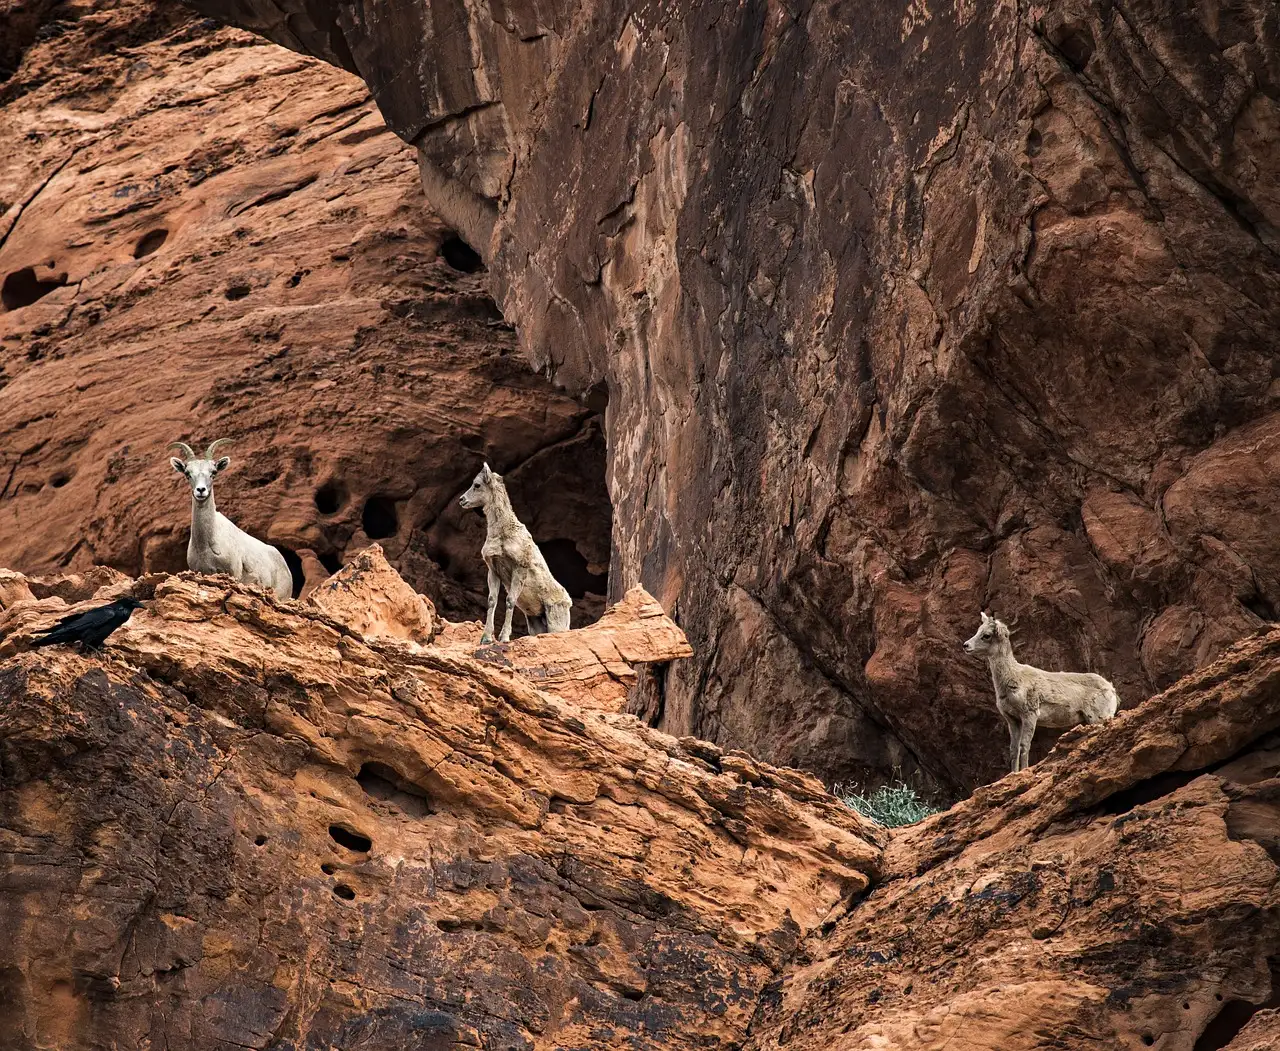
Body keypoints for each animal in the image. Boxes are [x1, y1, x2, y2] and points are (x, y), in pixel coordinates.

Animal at [458, 462, 572, 644]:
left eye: (477, 485)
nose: (462, 500)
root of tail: (568, 602)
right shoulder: (493, 571)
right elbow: (492, 601)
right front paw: (486, 639)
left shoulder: (519, 569)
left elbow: (510, 601)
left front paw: (504, 638)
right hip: (535, 624)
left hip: (556, 621)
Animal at [963, 610, 1119, 774]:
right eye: (978, 630)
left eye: (986, 635)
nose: (965, 645)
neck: (1013, 679)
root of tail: (1112, 690)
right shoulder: (1013, 719)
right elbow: (1013, 749)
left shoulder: (1030, 715)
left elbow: (1024, 746)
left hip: (1098, 717)